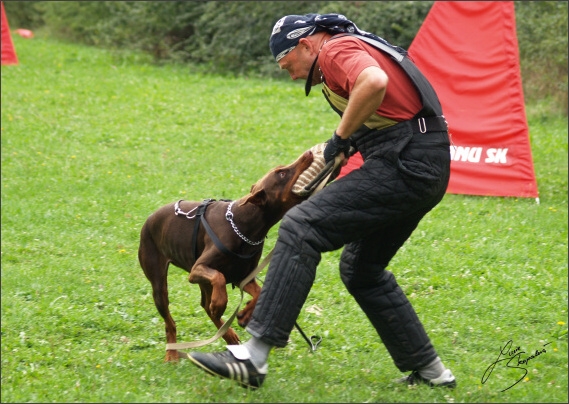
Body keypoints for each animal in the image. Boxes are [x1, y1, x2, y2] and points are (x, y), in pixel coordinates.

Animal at [138, 149, 316, 362]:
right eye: (281, 173)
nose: (309, 153)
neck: (244, 224)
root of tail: (148, 220)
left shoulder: (243, 277)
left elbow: (257, 293)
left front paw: (245, 314)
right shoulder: (199, 269)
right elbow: (219, 278)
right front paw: (222, 304)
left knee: (205, 305)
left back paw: (228, 334)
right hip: (159, 283)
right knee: (171, 320)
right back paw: (172, 353)